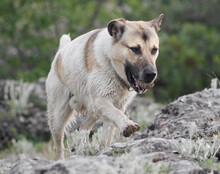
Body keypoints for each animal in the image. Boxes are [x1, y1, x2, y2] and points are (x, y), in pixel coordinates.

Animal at [46, 14, 163, 160]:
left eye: (154, 50)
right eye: (135, 49)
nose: (151, 74)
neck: (111, 62)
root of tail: (59, 54)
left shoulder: (116, 104)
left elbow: (107, 133)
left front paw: (103, 150)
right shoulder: (102, 100)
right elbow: (116, 114)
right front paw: (128, 125)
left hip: (91, 108)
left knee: (83, 127)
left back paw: (78, 146)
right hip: (58, 115)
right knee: (58, 144)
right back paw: (60, 159)